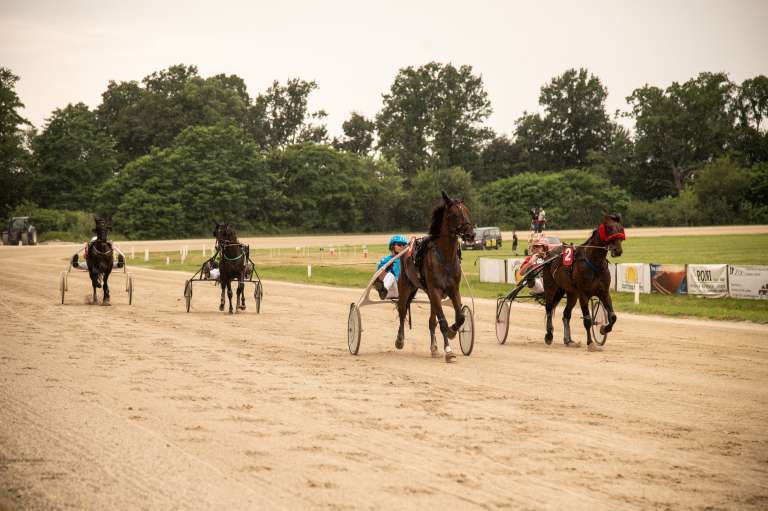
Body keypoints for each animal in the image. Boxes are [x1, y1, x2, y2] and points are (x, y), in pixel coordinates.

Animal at [396, 192, 474, 364]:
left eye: (467, 211)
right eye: (454, 214)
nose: (470, 234)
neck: (445, 257)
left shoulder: (453, 289)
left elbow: (460, 317)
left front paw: (452, 332)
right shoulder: (436, 290)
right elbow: (443, 322)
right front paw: (449, 351)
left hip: (430, 295)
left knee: (431, 321)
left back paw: (434, 347)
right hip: (406, 287)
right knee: (402, 311)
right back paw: (399, 340)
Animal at [540, 213, 624, 352]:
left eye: (621, 228)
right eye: (609, 228)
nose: (618, 250)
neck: (594, 263)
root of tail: (549, 255)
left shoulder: (604, 292)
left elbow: (613, 316)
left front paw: (603, 329)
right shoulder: (583, 294)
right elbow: (588, 320)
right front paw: (590, 343)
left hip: (571, 293)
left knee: (566, 314)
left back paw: (568, 340)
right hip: (551, 287)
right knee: (549, 309)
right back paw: (549, 335)